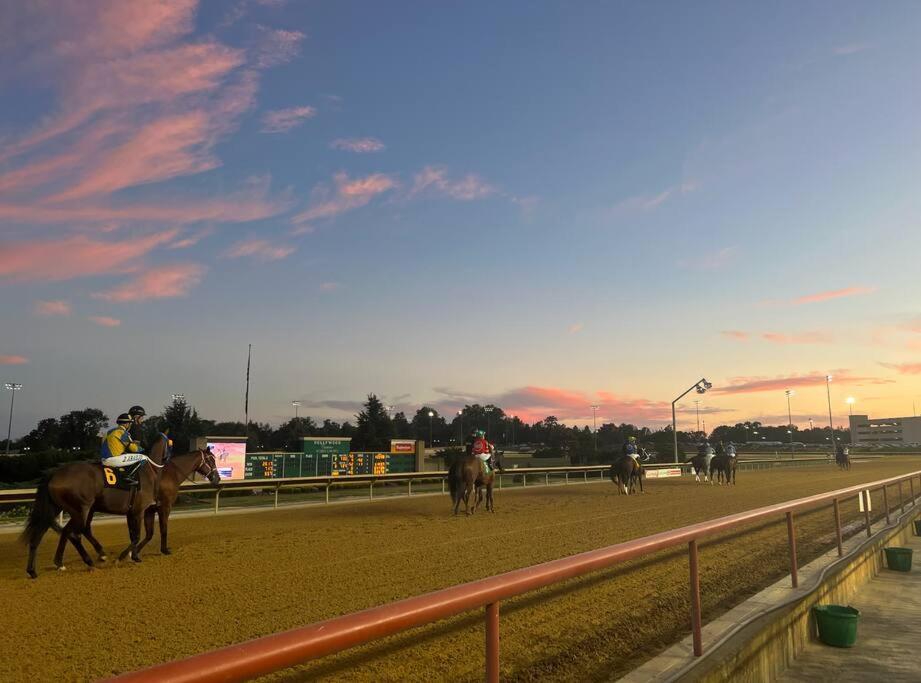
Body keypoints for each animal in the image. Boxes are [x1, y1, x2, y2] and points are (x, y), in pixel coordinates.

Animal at [22, 438, 218, 576]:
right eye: (211, 460)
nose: (217, 478)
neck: (162, 473)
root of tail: (55, 473)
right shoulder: (160, 507)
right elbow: (157, 530)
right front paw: (159, 551)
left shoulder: (146, 510)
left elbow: (145, 534)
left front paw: (133, 554)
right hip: (81, 509)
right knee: (74, 533)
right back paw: (89, 561)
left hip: (61, 508)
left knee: (49, 533)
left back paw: (47, 566)